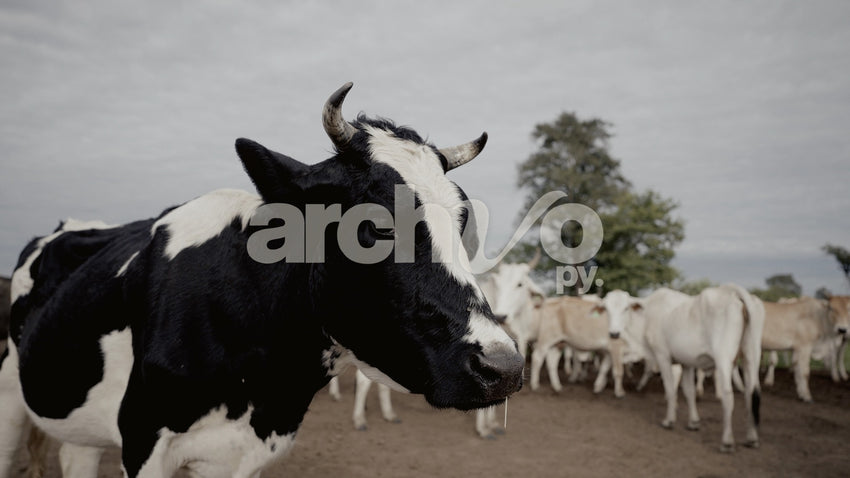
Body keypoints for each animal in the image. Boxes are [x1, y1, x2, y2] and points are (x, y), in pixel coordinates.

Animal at [640, 285, 764, 452]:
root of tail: (734, 291)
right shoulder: (686, 362)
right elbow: (689, 391)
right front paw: (693, 422)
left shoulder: (662, 355)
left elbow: (670, 389)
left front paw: (669, 421)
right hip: (752, 355)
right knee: (751, 394)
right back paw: (752, 438)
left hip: (724, 357)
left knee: (728, 396)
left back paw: (727, 441)